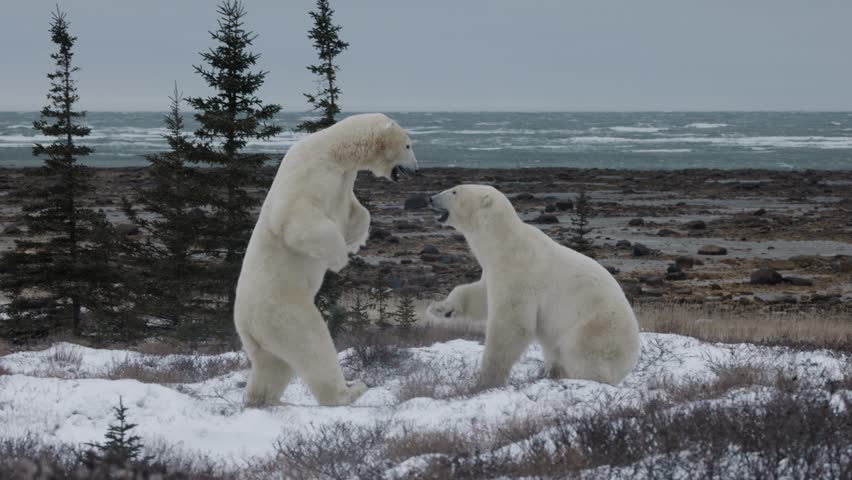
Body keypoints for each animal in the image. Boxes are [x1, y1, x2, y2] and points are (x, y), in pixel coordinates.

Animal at [234, 113, 418, 406]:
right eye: (408, 145)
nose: (416, 170)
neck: (333, 151)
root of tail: (245, 323)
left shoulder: (344, 181)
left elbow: (357, 211)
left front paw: (355, 240)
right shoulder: (311, 174)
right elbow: (294, 219)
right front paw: (338, 258)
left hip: (265, 334)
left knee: (273, 365)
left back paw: (262, 399)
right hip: (284, 310)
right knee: (313, 346)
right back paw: (350, 391)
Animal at [427, 185, 640, 387]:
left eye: (455, 191)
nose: (430, 198)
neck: (504, 242)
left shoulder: (520, 272)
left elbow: (512, 324)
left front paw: (486, 380)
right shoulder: (494, 269)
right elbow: (480, 296)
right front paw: (440, 308)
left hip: (598, 328)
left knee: (583, 356)